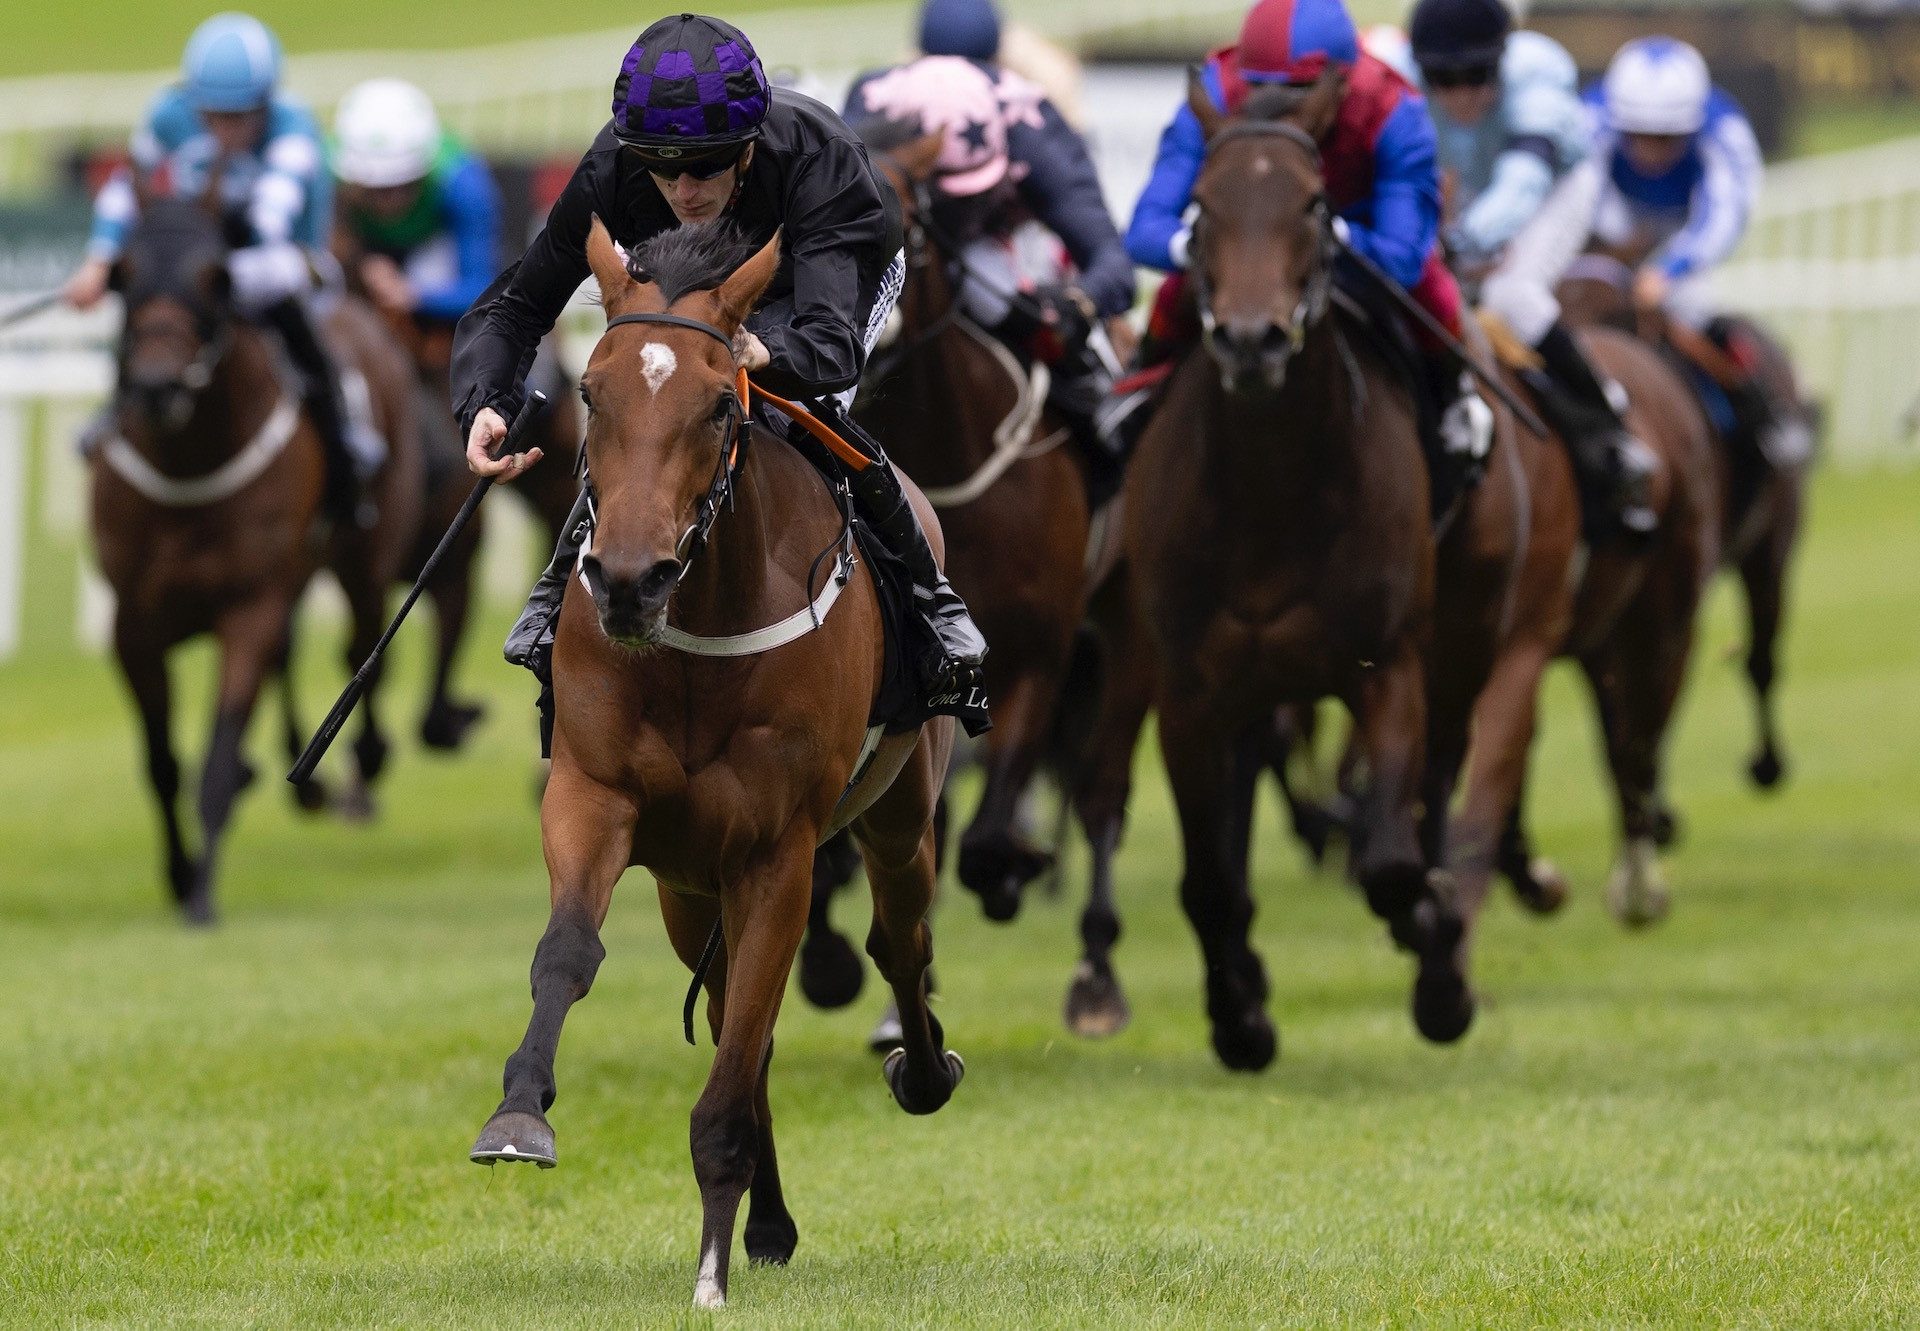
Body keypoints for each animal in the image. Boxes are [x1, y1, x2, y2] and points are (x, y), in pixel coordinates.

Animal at [472, 220, 967, 1306]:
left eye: (715, 404)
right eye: (591, 392)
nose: (626, 578)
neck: (694, 637)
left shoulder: (776, 851)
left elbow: (741, 1046)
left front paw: (710, 1268)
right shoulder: (597, 797)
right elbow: (568, 952)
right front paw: (520, 1112)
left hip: (896, 810)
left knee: (898, 936)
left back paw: (920, 1070)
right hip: (687, 888)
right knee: (757, 1013)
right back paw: (770, 1219)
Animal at [1113, 75, 1528, 1067]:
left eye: (1311, 204)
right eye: (1200, 206)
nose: (1253, 341)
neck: (1271, 490)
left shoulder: (1390, 667)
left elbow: (1391, 863)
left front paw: (1436, 952)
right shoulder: (1189, 693)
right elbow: (1208, 879)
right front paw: (1240, 1017)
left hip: (1463, 641)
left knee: (1434, 788)